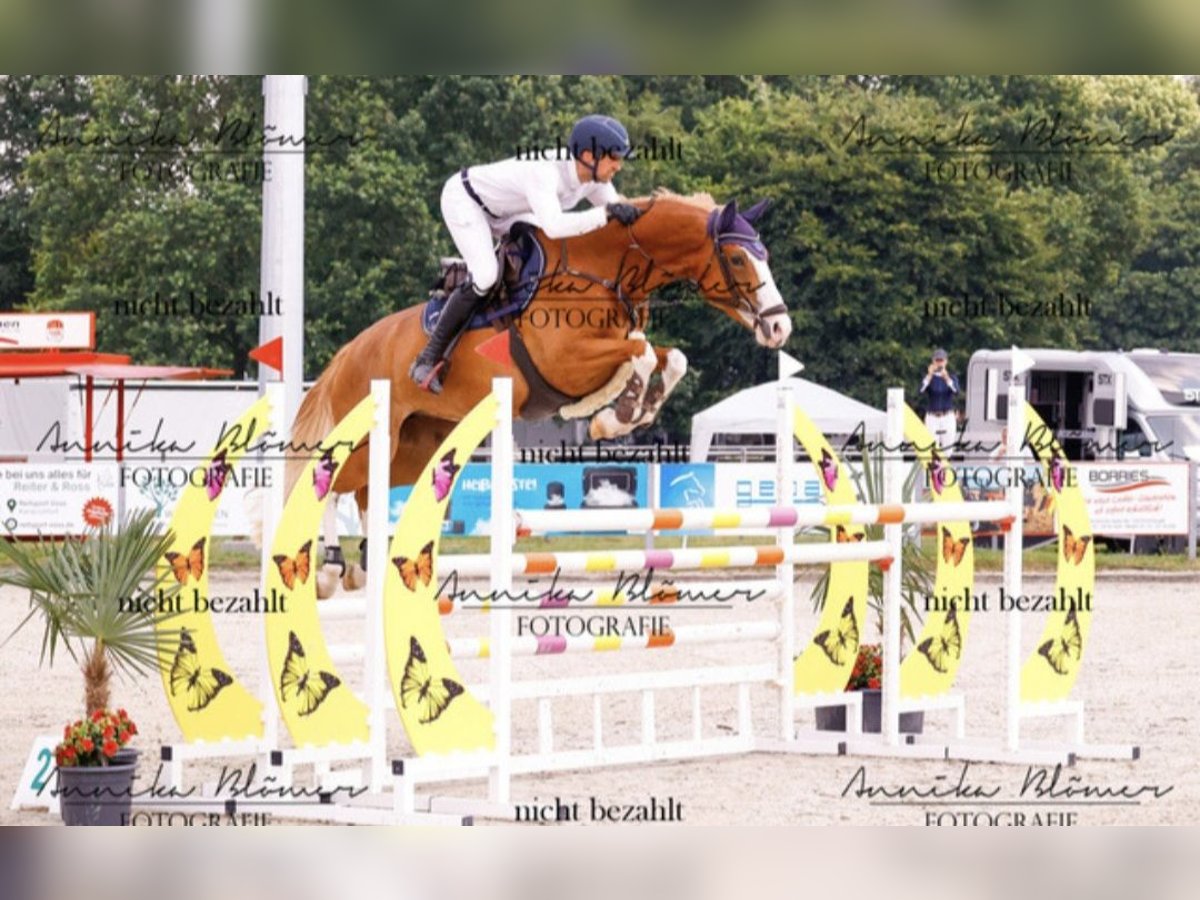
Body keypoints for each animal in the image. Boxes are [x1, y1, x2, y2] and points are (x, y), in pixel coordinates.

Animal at [286, 189, 793, 597]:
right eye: (739, 259)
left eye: (767, 253)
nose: (779, 326)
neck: (604, 272)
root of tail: (348, 352)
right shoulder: (567, 361)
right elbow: (642, 351)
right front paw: (615, 411)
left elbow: (669, 357)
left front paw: (623, 412)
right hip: (375, 438)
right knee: (328, 479)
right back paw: (329, 570)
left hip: (415, 448)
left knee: (364, 492)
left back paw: (360, 565)